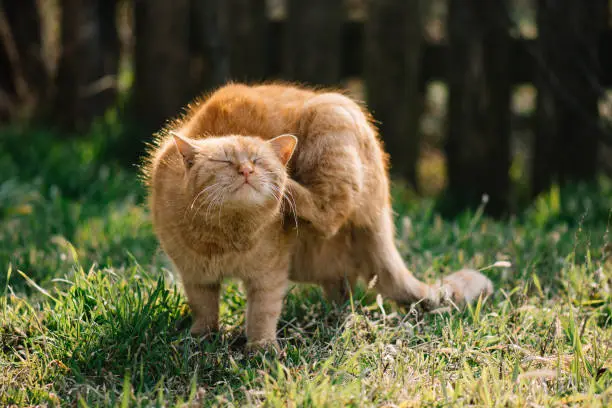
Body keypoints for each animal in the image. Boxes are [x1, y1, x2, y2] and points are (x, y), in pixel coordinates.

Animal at [142, 82, 492, 350]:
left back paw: (290, 189)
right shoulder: (195, 276)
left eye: (259, 161)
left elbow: (262, 314)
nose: (246, 170)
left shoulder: (269, 276)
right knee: (341, 289)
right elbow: (203, 310)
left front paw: (260, 349)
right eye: (225, 161)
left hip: (332, 116)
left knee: (328, 213)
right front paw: (200, 338)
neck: (226, 237)